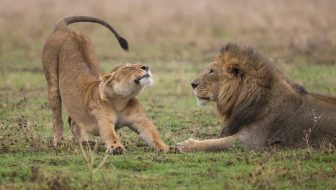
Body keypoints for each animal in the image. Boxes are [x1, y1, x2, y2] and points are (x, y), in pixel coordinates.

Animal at [42, 16, 169, 154]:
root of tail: (63, 28)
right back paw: (59, 143)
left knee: (72, 121)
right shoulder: (103, 120)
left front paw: (167, 147)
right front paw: (116, 147)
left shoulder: (141, 121)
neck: (121, 100)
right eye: (129, 67)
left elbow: (154, 134)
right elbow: (110, 134)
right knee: (57, 118)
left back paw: (85, 143)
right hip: (53, 84)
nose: (146, 67)